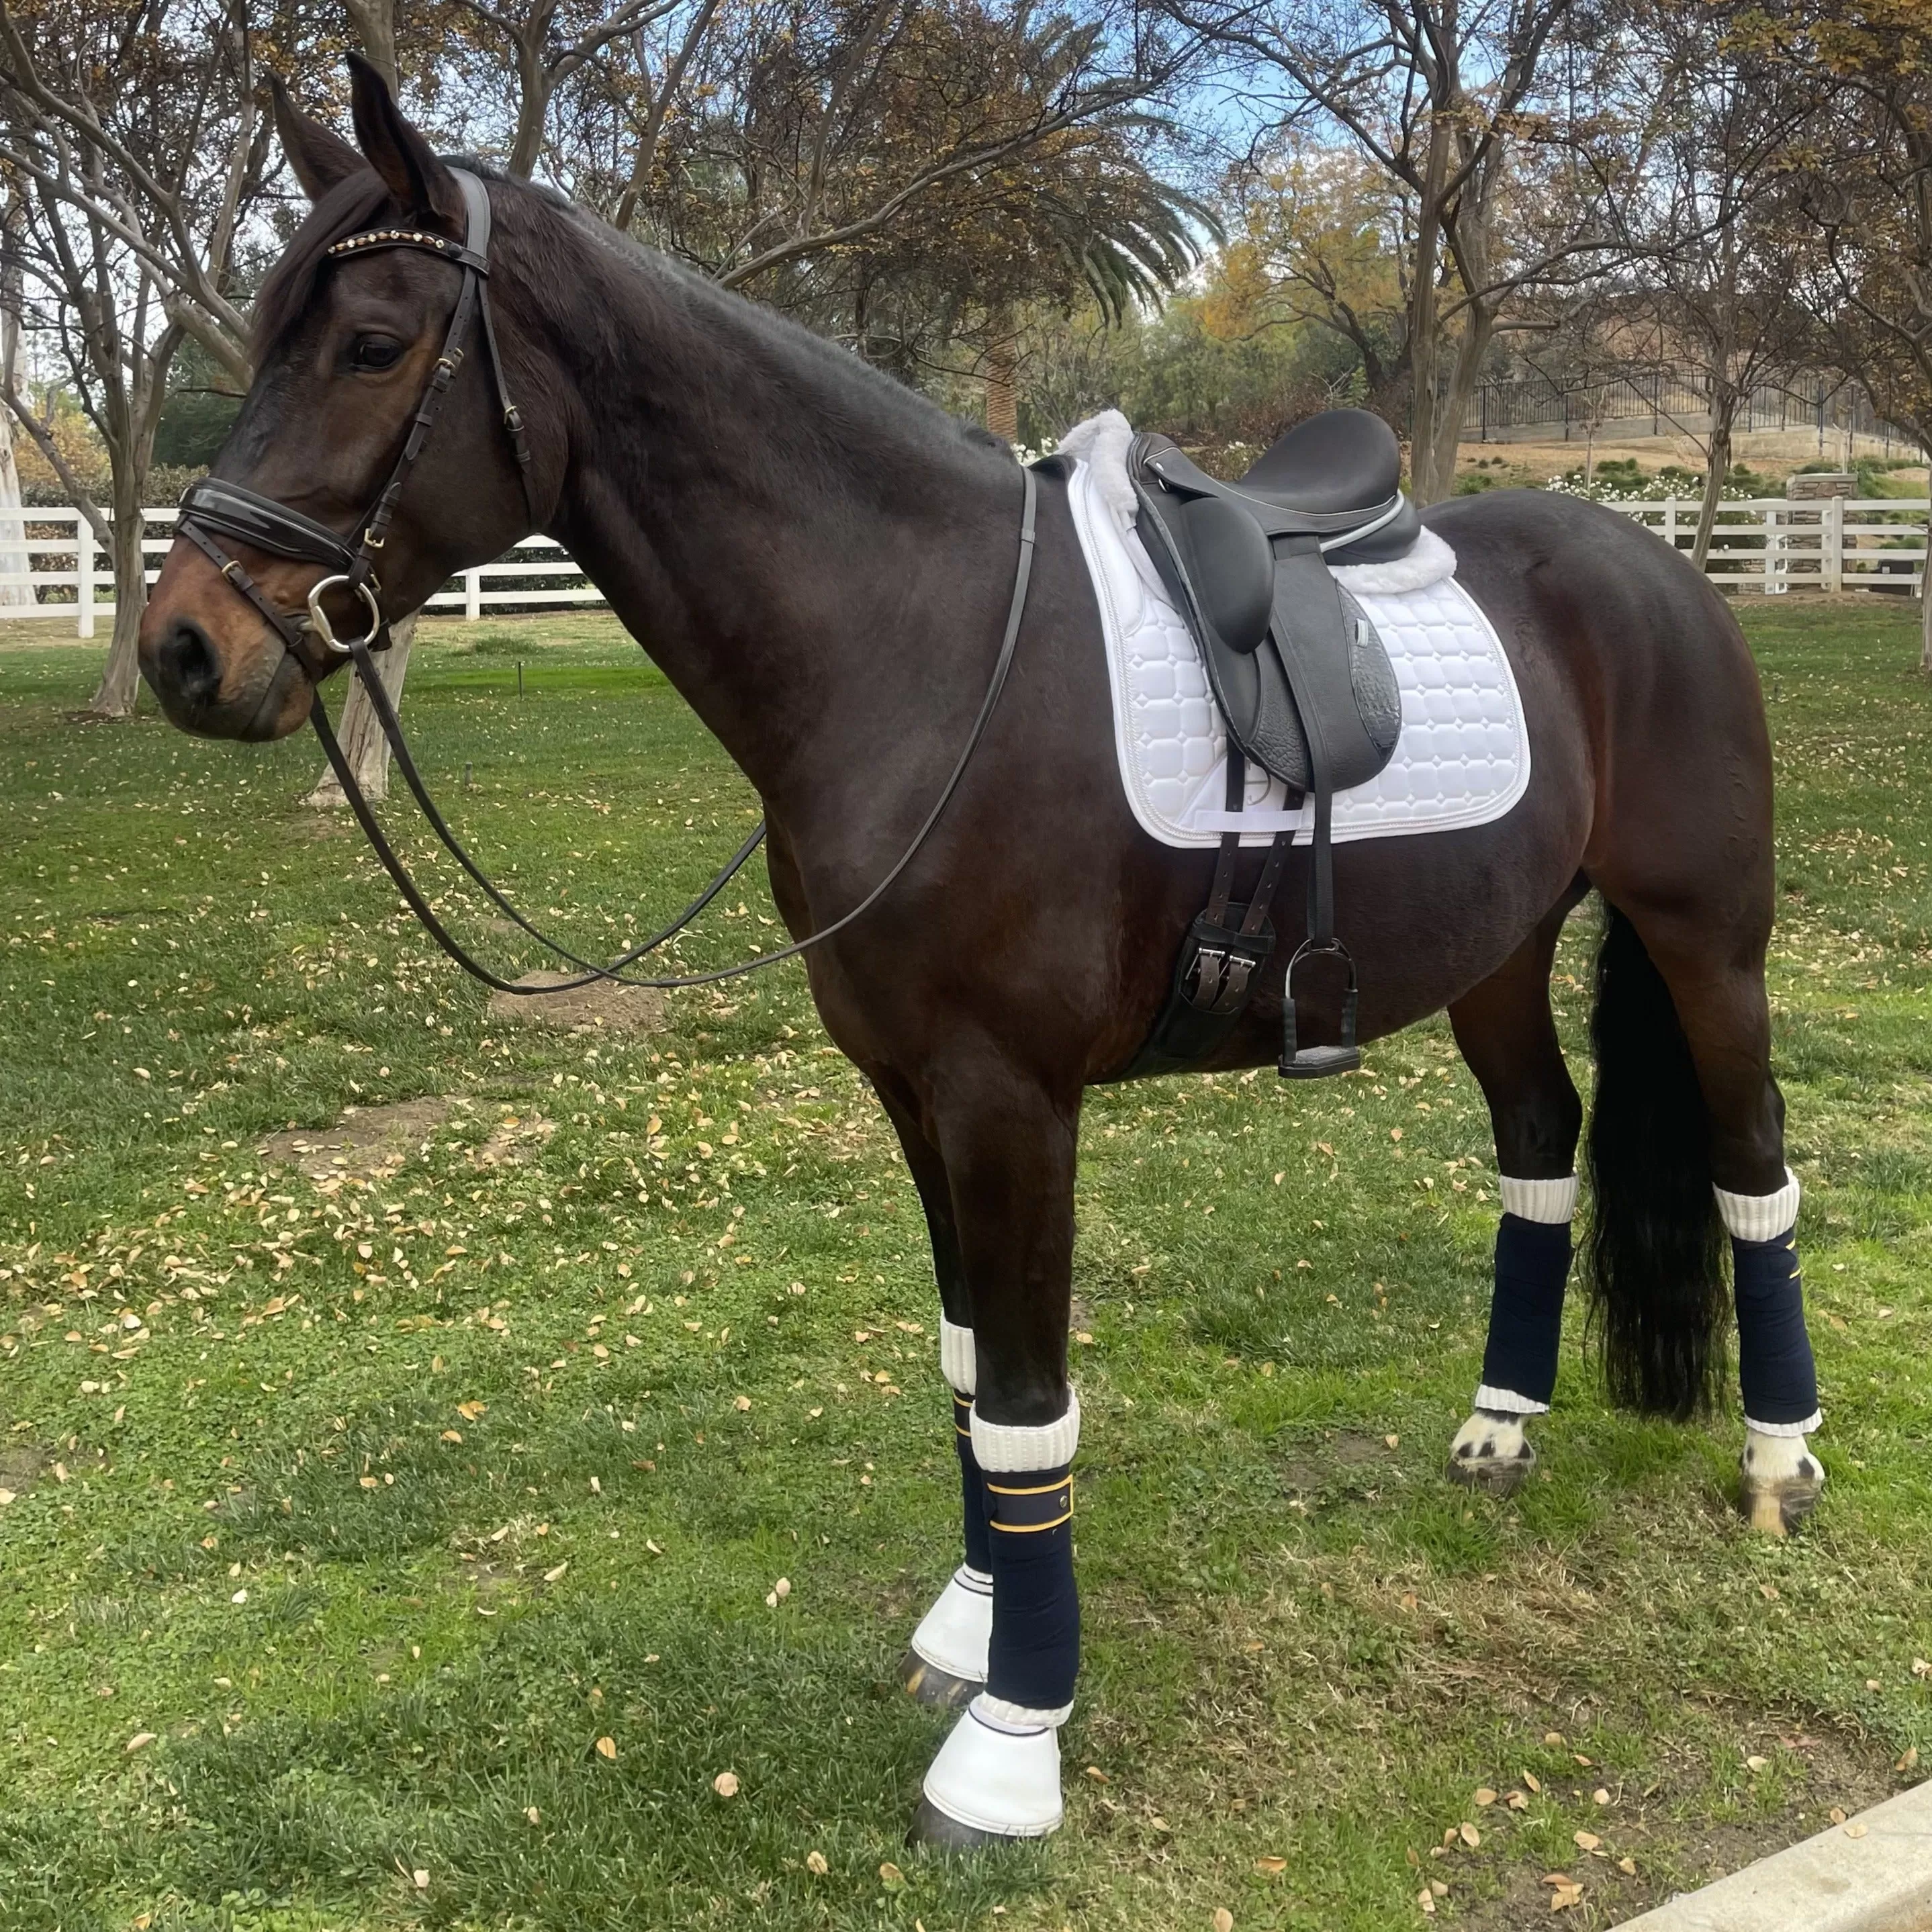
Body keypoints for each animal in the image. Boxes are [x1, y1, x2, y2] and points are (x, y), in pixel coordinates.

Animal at [140, 56, 1823, 1839]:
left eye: (373, 344)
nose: (183, 647)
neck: (924, 645)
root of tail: (1660, 571)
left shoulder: (1011, 1099)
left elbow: (1022, 1400)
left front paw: (1015, 1739)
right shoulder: (907, 1088)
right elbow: (960, 1365)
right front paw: (972, 1625)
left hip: (1706, 945)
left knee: (1752, 1162)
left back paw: (1780, 1462)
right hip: (1496, 952)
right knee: (1539, 1146)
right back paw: (1500, 1432)